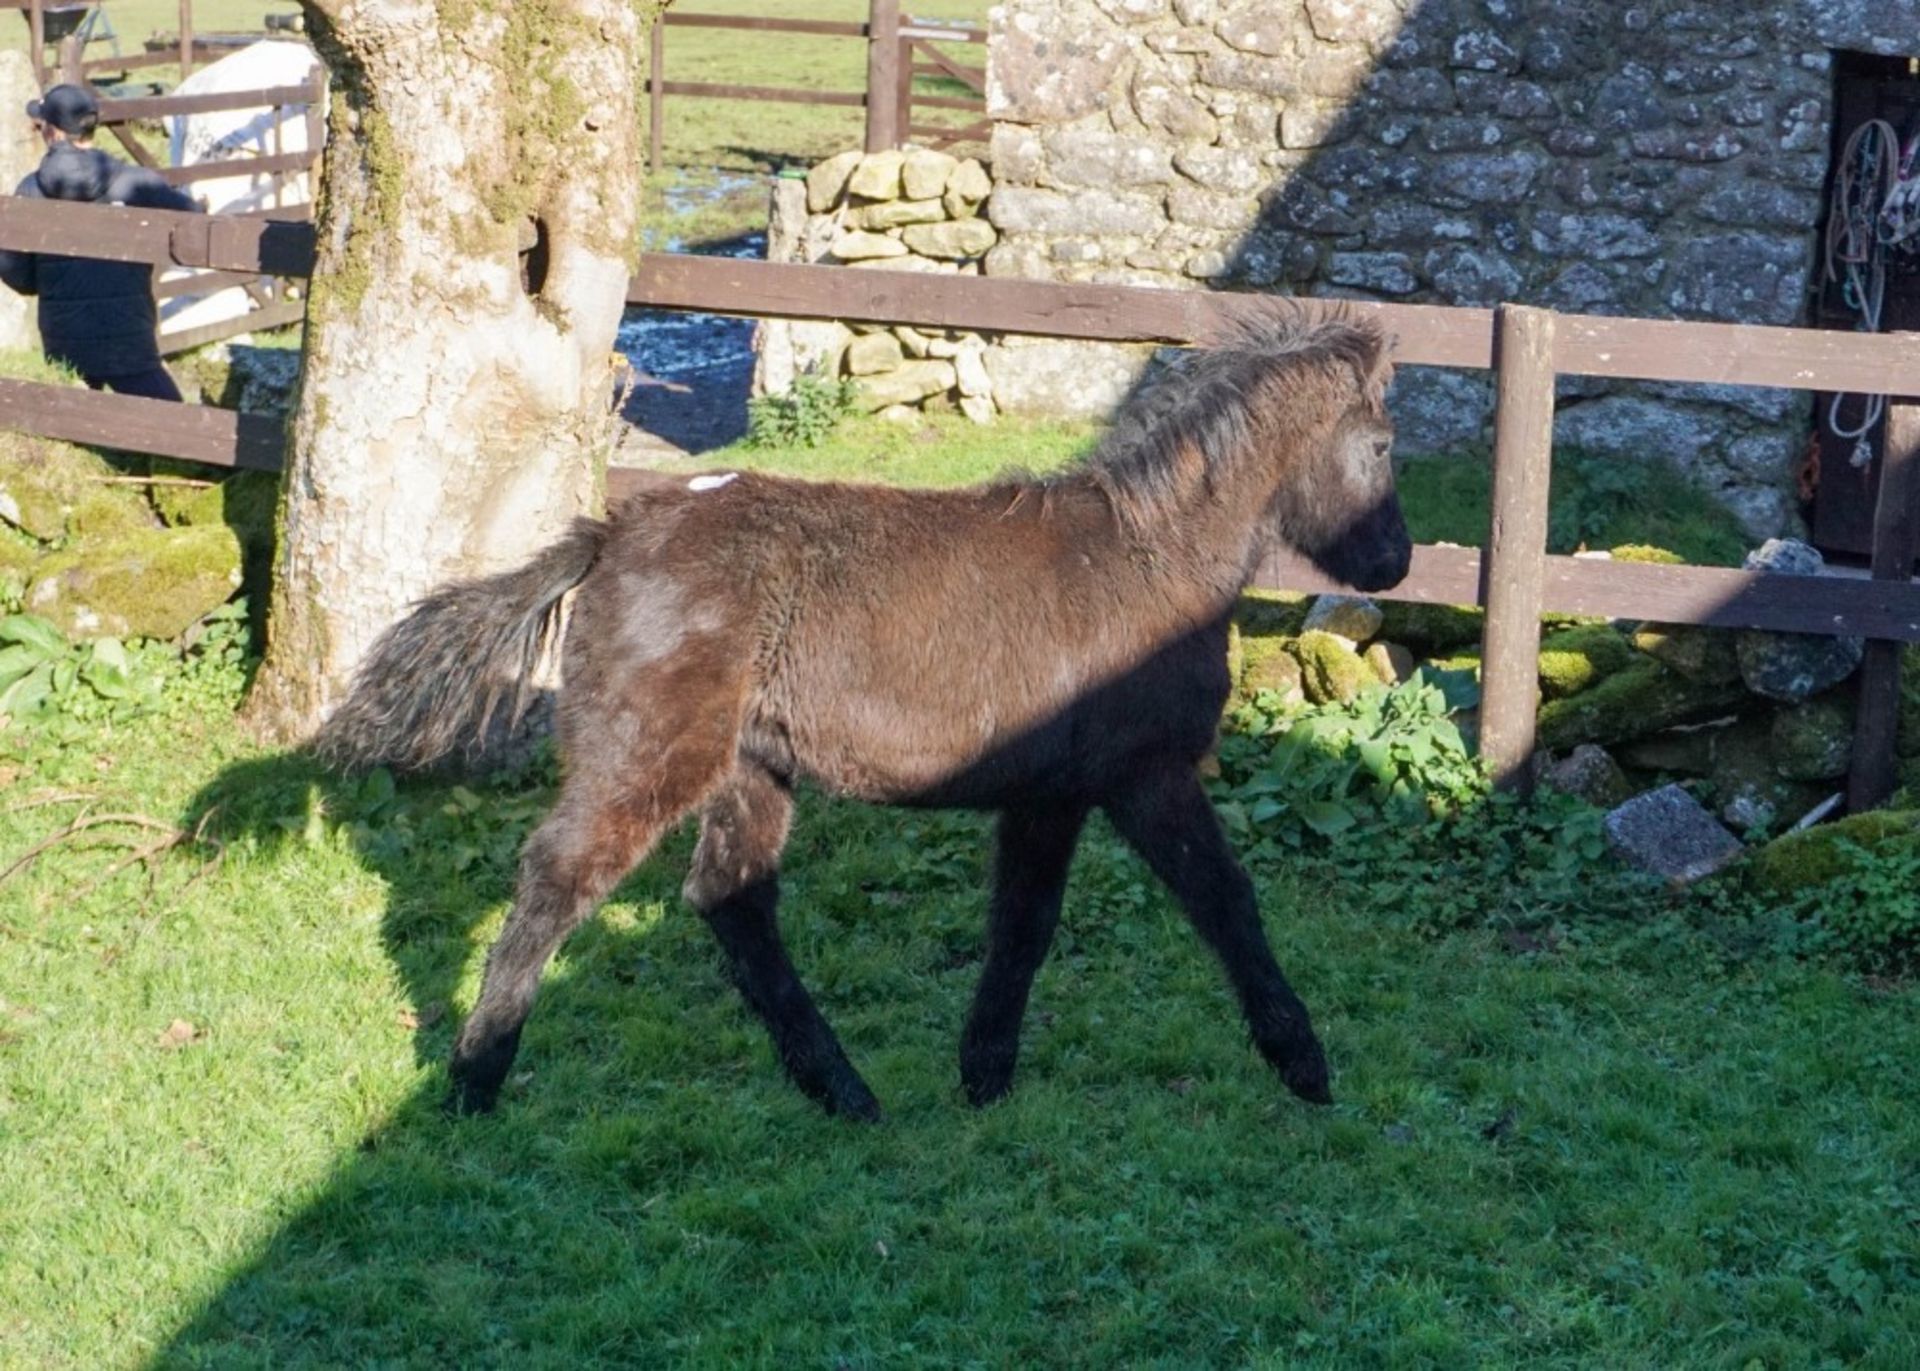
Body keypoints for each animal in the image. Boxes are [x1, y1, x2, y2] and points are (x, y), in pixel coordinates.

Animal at [314, 312, 1413, 1121]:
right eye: (1382, 444)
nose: (1395, 564)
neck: (1153, 559)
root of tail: (613, 529)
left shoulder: (1050, 794)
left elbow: (1024, 925)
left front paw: (983, 1075)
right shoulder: (1145, 776)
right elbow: (1226, 904)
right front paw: (1306, 1066)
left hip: (752, 769)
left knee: (730, 899)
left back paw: (841, 1090)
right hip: (650, 756)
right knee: (558, 880)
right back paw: (476, 1080)